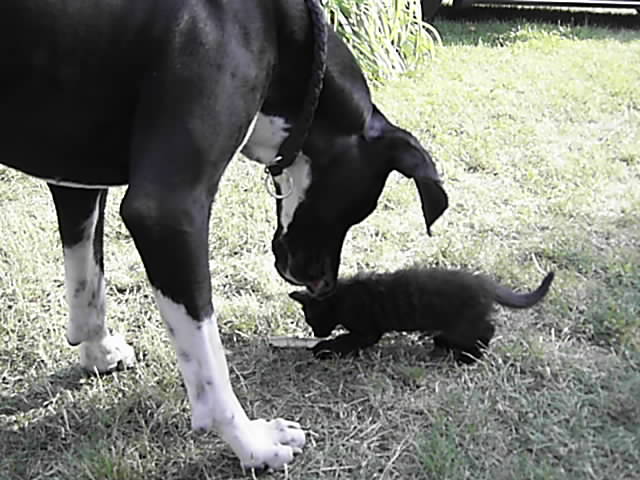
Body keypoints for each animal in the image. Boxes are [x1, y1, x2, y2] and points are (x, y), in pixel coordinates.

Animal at [0, 0, 448, 470]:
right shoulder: (169, 210)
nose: (323, 284)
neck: (285, 31)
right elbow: (209, 362)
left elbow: (88, 281)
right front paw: (251, 443)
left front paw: (98, 351)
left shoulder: (74, 179)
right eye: (359, 210)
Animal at [289, 266, 554, 363]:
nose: (317, 333)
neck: (341, 297)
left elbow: (346, 340)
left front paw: (324, 349)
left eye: (312, 320)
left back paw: (470, 357)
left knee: (487, 330)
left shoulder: (368, 331)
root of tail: (485, 283)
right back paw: (442, 345)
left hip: (464, 324)